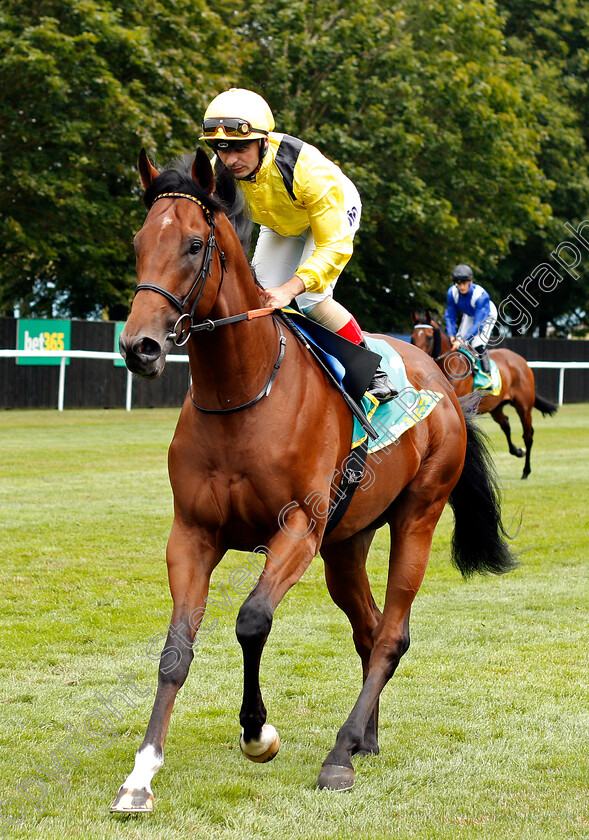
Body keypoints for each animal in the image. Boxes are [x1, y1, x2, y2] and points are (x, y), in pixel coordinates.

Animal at [110, 151, 516, 812]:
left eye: (195, 245)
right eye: (140, 243)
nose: (139, 347)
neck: (244, 393)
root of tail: (444, 383)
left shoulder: (298, 527)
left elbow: (252, 619)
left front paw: (257, 733)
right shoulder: (192, 533)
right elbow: (175, 650)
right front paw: (142, 774)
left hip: (417, 517)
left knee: (392, 634)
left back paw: (339, 755)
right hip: (345, 545)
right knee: (369, 628)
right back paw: (364, 739)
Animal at [408, 312, 556, 480]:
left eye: (429, 337)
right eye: (412, 336)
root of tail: (522, 361)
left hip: (524, 407)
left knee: (528, 435)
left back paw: (526, 470)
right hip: (496, 407)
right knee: (506, 424)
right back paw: (518, 451)